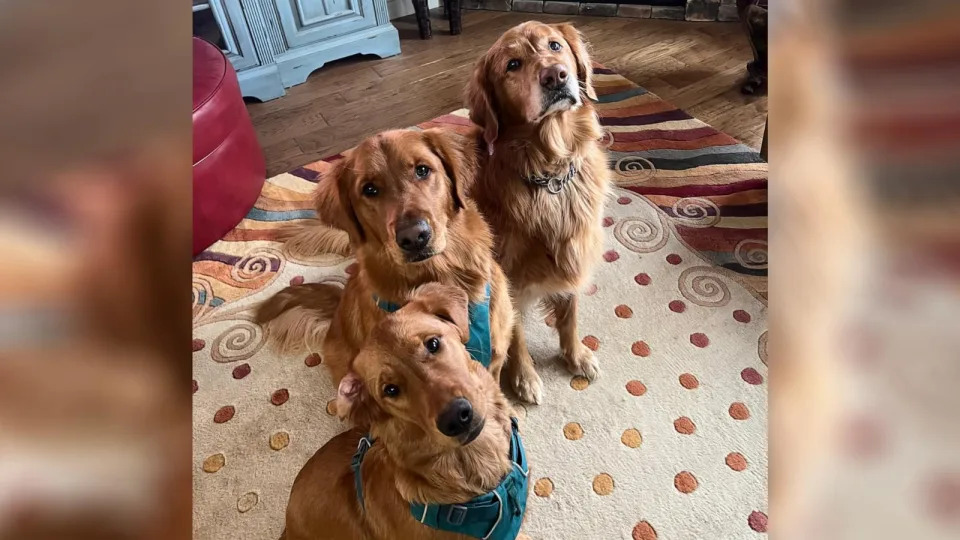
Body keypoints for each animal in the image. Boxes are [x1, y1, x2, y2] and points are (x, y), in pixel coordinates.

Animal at [464, 21, 612, 402]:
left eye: (555, 45)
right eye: (512, 65)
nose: (555, 75)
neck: (550, 175)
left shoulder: (574, 251)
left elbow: (570, 313)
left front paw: (575, 355)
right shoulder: (507, 280)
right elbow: (515, 334)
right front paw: (524, 377)